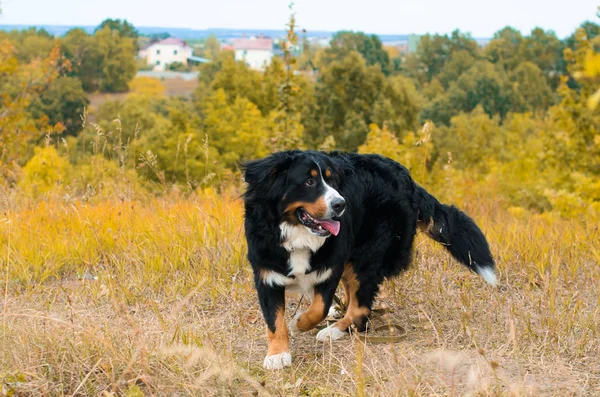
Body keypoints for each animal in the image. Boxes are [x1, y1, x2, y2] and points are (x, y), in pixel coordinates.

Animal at [241, 148, 494, 368]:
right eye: (309, 182)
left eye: (332, 181)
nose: (340, 204)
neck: (297, 233)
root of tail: (407, 178)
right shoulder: (266, 274)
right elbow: (274, 321)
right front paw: (277, 355)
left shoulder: (331, 265)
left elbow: (317, 308)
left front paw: (298, 324)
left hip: (366, 253)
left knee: (360, 309)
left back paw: (335, 329)